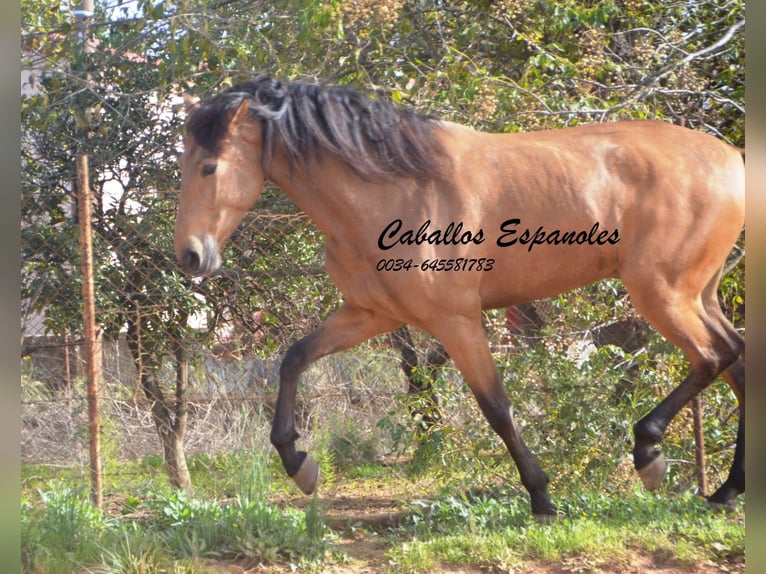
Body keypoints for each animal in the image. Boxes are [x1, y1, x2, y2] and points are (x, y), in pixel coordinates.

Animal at [172, 76, 744, 520]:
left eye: (210, 168)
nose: (191, 257)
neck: (395, 188)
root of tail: (731, 159)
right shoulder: (370, 315)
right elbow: (292, 359)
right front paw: (299, 465)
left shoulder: (457, 320)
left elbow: (497, 407)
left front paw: (542, 499)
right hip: (699, 294)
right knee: (739, 362)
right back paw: (725, 491)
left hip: (663, 293)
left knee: (713, 358)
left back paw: (649, 454)